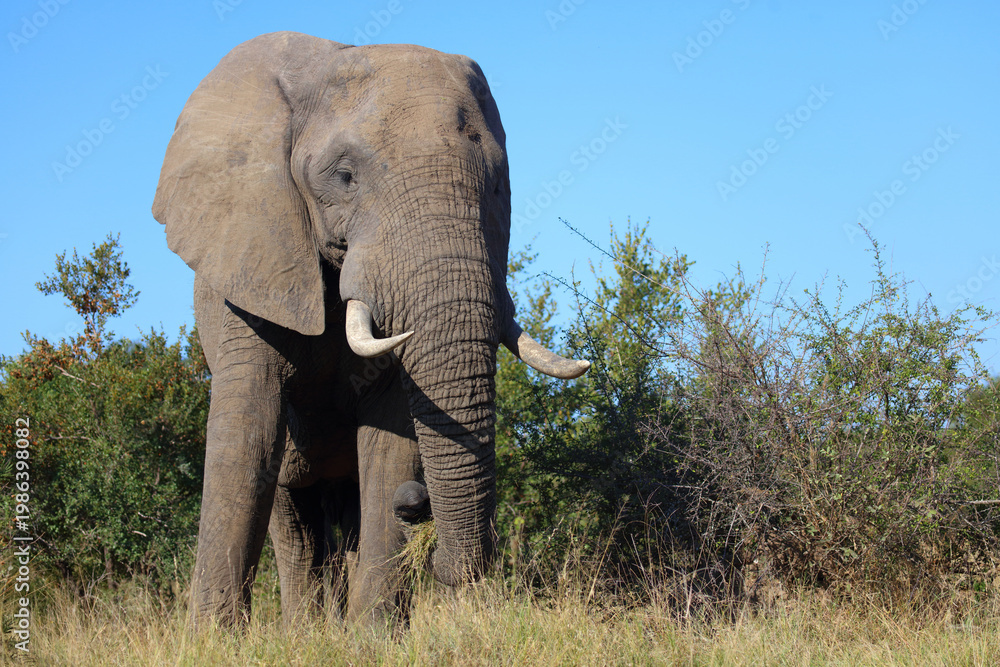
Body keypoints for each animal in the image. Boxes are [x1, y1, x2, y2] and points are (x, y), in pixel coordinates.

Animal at [151, 32, 589, 626]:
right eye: (344, 177)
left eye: (499, 186)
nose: (415, 501)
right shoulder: (251, 264)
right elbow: (247, 433)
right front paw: (208, 639)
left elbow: (390, 437)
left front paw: (374, 636)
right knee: (294, 521)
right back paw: (305, 631)